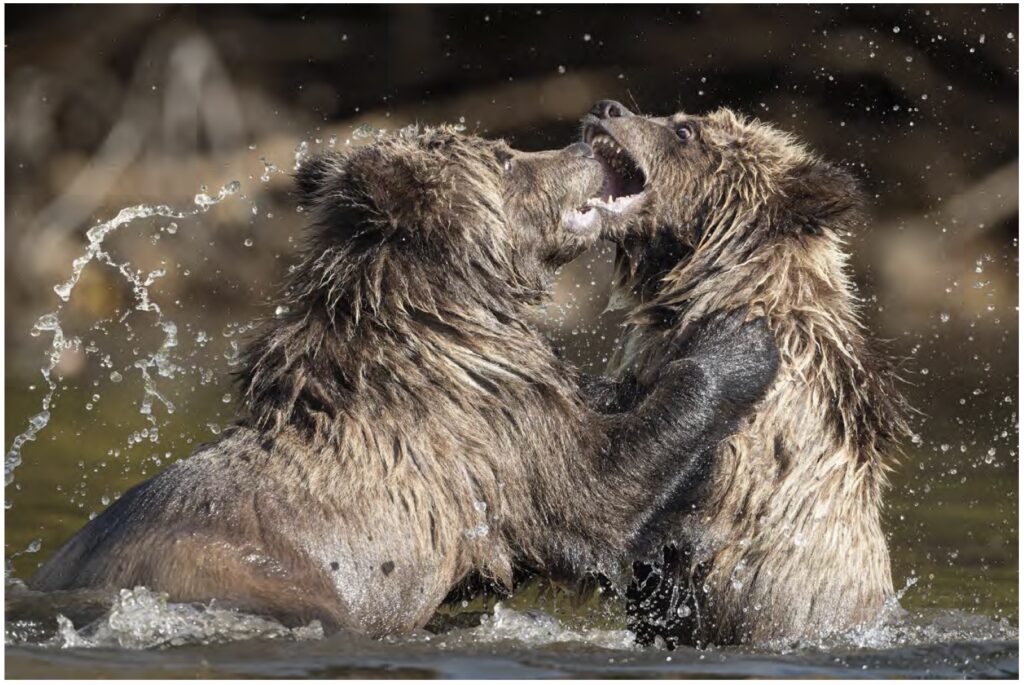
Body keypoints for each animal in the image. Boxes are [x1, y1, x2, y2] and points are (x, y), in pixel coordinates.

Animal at [25, 126, 774, 634]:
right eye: (505, 157)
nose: (587, 143)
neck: (448, 319)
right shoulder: (489, 435)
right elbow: (597, 495)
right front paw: (738, 341)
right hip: (256, 581)